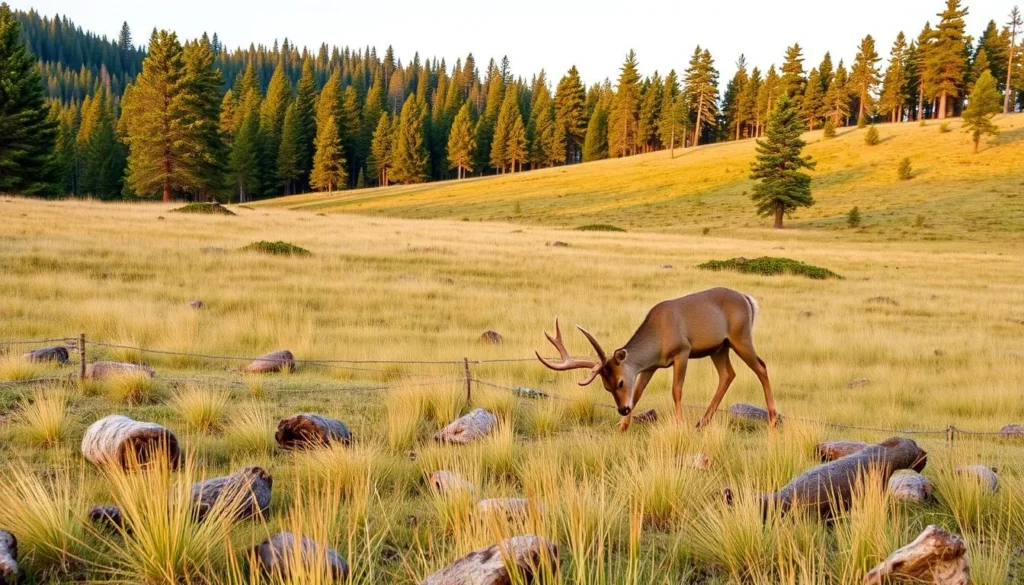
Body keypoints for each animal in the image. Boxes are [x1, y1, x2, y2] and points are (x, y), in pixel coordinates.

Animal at [536, 287, 777, 432]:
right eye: (606, 387)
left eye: (620, 382)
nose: (622, 410)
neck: (657, 339)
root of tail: (748, 299)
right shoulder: (650, 367)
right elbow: (638, 393)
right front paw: (622, 425)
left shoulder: (682, 351)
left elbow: (676, 390)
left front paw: (679, 424)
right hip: (719, 347)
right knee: (728, 374)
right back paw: (702, 421)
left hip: (740, 336)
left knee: (761, 367)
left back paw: (773, 419)